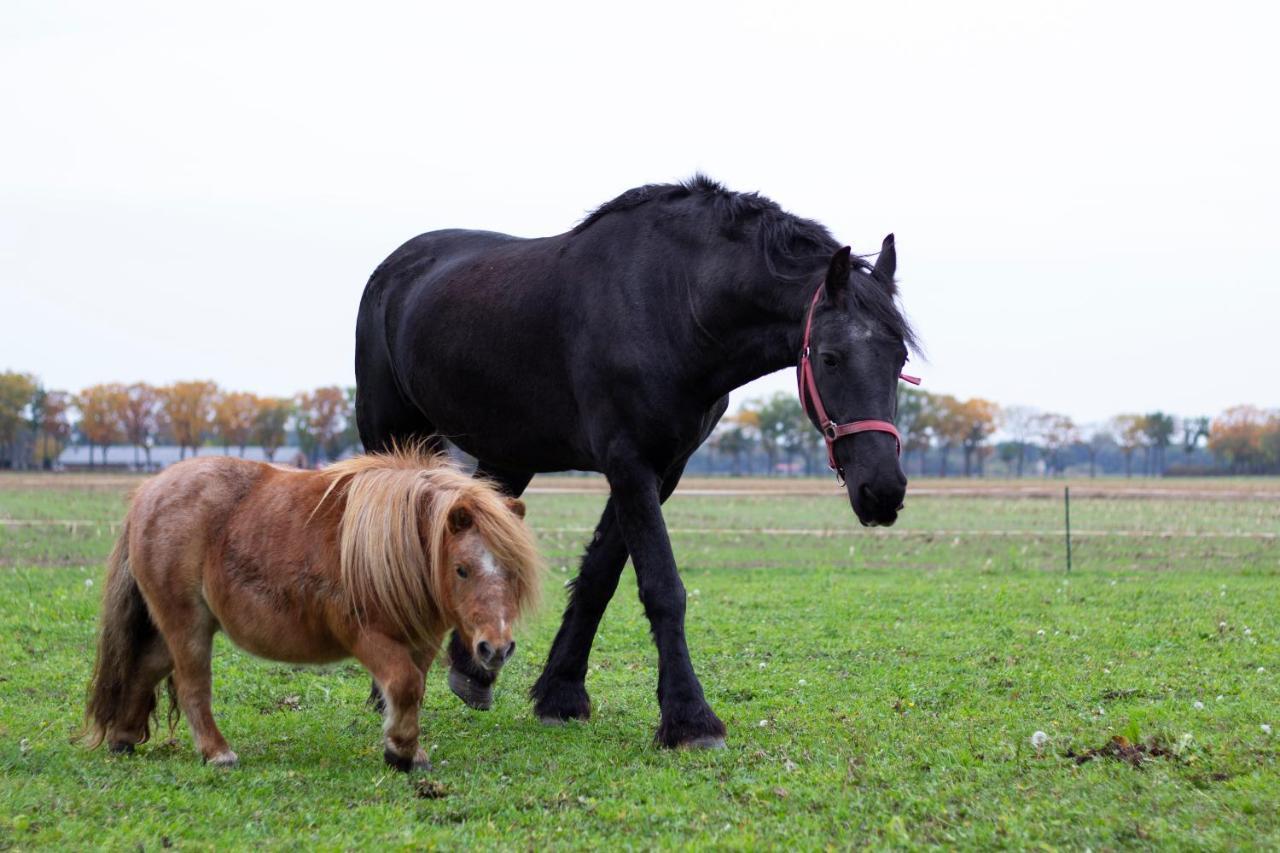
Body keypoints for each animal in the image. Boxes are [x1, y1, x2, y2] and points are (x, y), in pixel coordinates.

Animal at [80, 448, 540, 768]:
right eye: (462, 569)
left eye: (513, 571)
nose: (496, 649)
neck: (394, 548)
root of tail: (149, 492)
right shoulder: (368, 637)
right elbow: (404, 686)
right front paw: (401, 752)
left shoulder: (421, 642)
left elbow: (414, 690)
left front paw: (406, 751)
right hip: (187, 625)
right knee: (193, 687)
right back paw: (218, 753)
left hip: (177, 626)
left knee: (145, 667)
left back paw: (123, 738)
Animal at [358, 174, 921, 742]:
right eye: (830, 358)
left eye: (899, 358)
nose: (883, 490)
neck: (675, 302)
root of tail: (394, 268)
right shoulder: (628, 462)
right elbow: (662, 587)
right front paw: (690, 718)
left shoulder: (662, 468)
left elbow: (599, 578)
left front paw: (561, 693)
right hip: (392, 435)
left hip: (507, 456)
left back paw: (472, 670)